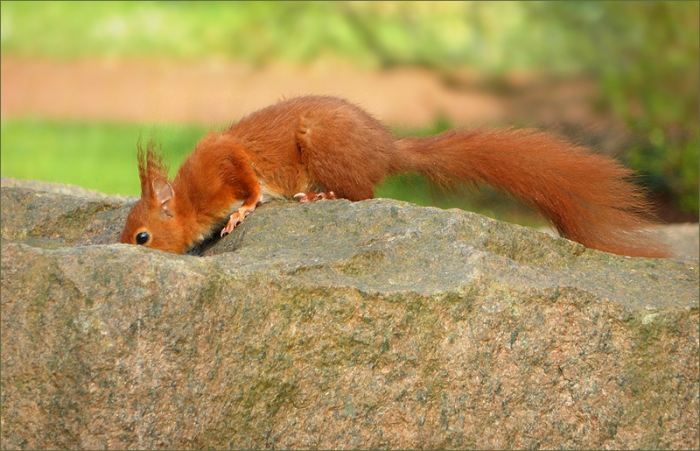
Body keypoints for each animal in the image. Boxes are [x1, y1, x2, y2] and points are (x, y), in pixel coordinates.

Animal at [120, 95, 670, 258]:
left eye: (142, 237)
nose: (125, 250)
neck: (189, 199)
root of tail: (387, 149)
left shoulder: (225, 161)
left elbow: (249, 183)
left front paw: (244, 212)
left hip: (322, 146)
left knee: (362, 194)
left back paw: (322, 197)